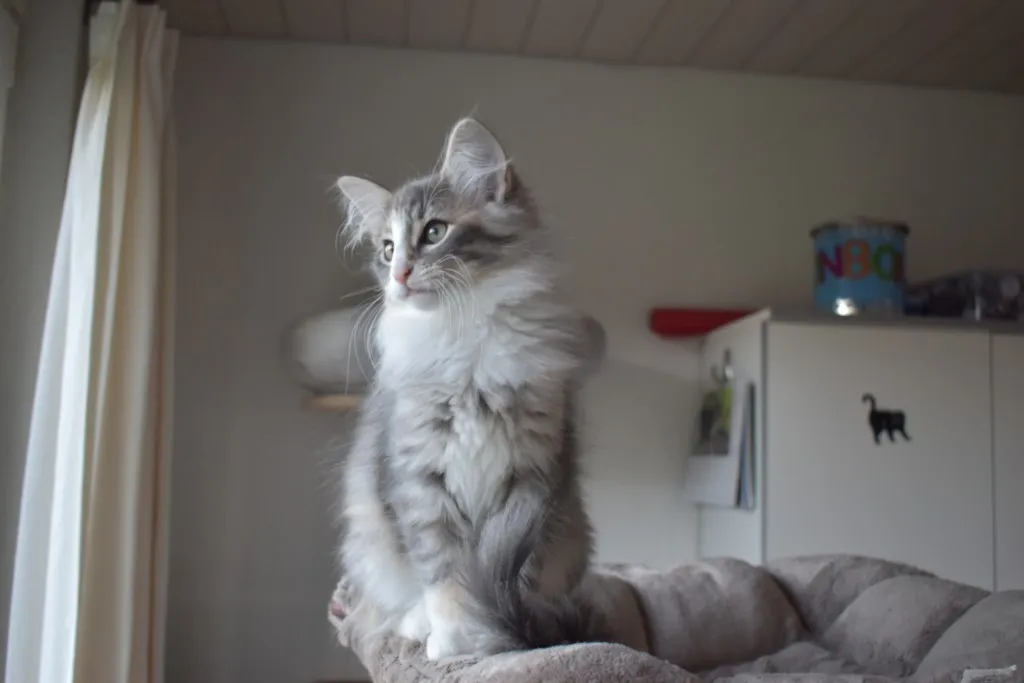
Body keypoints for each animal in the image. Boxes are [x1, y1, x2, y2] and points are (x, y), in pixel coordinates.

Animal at [333, 117, 604, 661]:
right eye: (387, 249)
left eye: (434, 232)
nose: (399, 275)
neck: (464, 334)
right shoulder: (418, 483)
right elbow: (442, 574)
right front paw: (457, 639)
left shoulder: (532, 480)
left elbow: (514, 579)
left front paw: (506, 640)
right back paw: (418, 627)